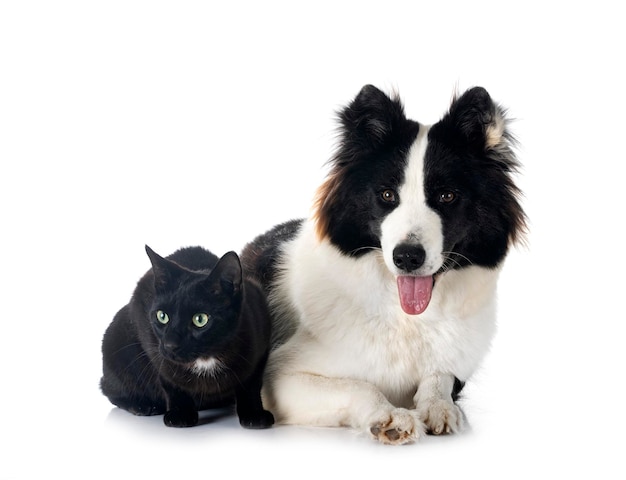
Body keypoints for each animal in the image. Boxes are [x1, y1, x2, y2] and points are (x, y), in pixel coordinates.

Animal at [100, 246, 272, 430]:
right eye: (162, 316)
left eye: (200, 319)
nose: (170, 345)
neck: (207, 358)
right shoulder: (154, 347)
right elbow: (170, 381)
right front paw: (180, 414)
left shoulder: (261, 344)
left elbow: (251, 384)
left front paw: (254, 414)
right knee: (109, 390)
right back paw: (143, 405)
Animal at [241, 83, 524, 446]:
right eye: (388, 195)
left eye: (447, 196)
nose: (407, 257)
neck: (406, 319)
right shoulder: (280, 378)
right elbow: (359, 385)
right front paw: (388, 415)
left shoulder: (455, 366)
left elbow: (439, 377)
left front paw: (439, 406)